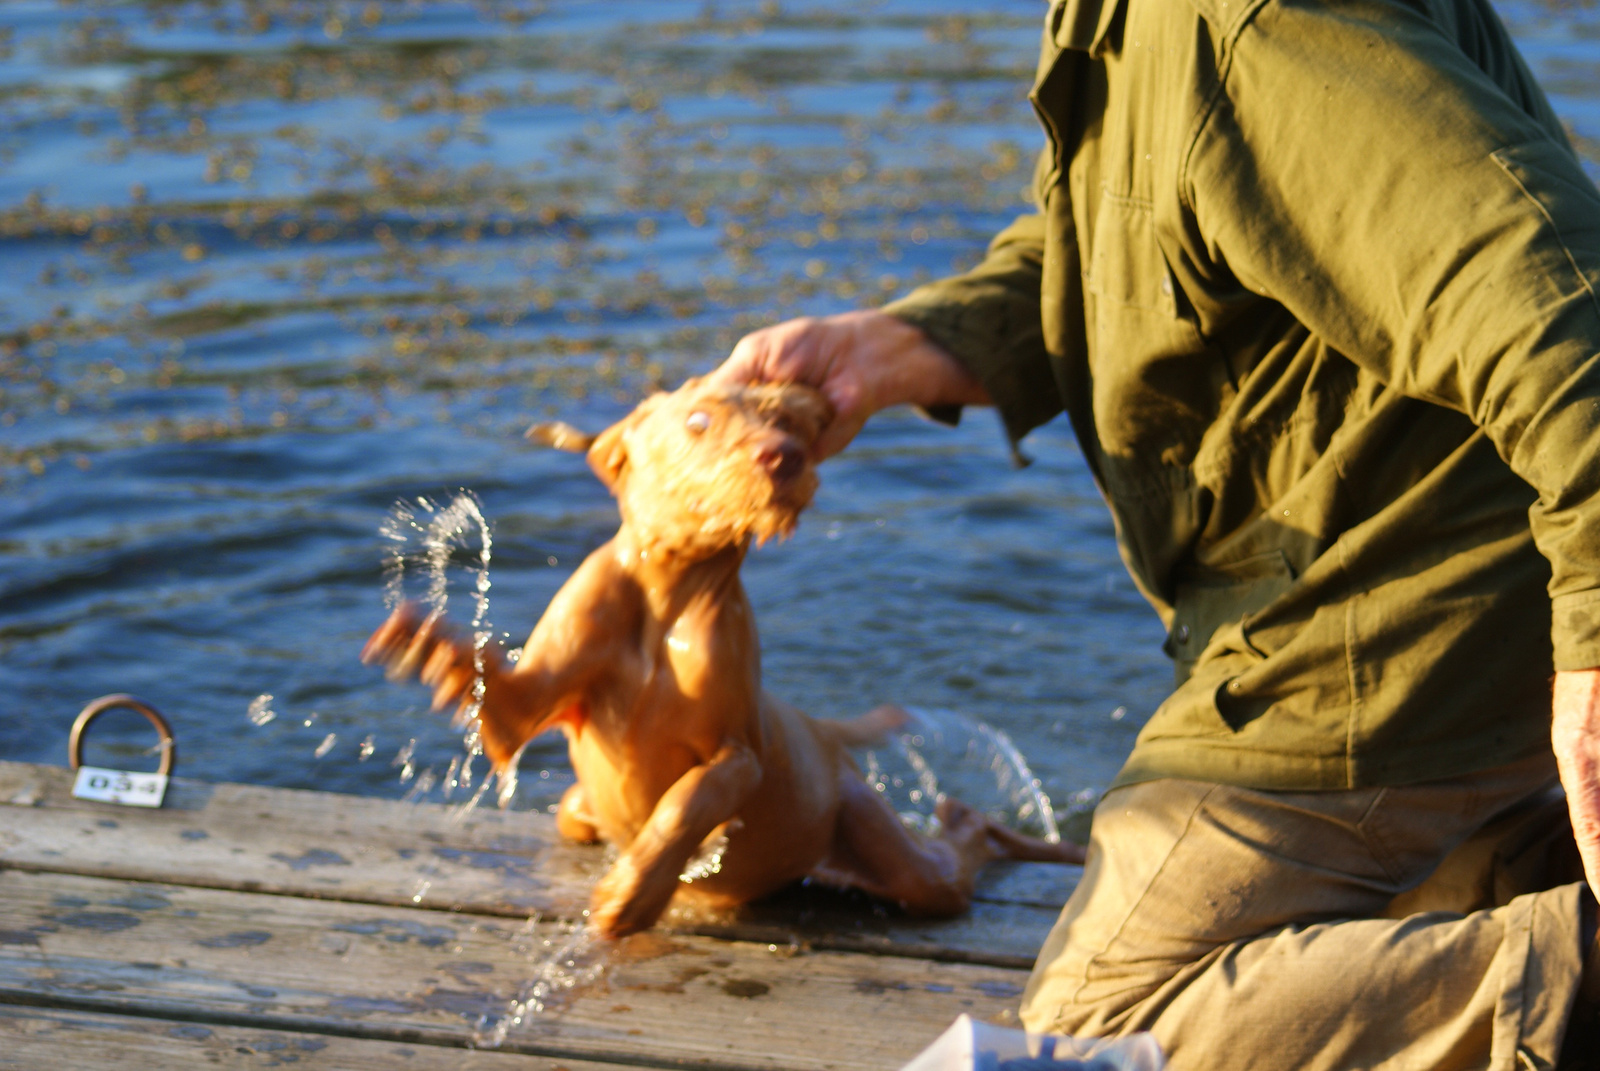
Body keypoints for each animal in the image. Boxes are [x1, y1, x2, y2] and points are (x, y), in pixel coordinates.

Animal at [363, 377, 1088, 934]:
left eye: (789, 421)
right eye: (699, 420)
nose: (784, 454)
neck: (665, 598)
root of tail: (823, 731)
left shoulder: (738, 757)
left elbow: (686, 802)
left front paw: (633, 895)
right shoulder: (532, 702)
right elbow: (505, 707)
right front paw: (436, 650)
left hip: (883, 841)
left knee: (958, 857)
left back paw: (973, 824)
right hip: (582, 811)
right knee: (573, 812)